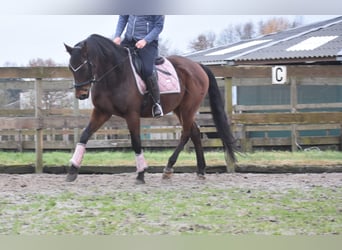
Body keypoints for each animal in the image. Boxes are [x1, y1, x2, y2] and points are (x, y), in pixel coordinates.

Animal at [64, 33, 235, 184]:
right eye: (71, 68)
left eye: (86, 65)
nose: (81, 94)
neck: (116, 73)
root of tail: (197, 65)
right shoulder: (102, 112)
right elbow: (84, 136)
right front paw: (72, 170)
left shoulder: (132, 114)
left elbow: (136, 142)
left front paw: (141, 174)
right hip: (180, 109)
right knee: (195, 132)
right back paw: (200, 171)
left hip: (188, 108)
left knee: (186, 133)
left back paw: (169, 168)